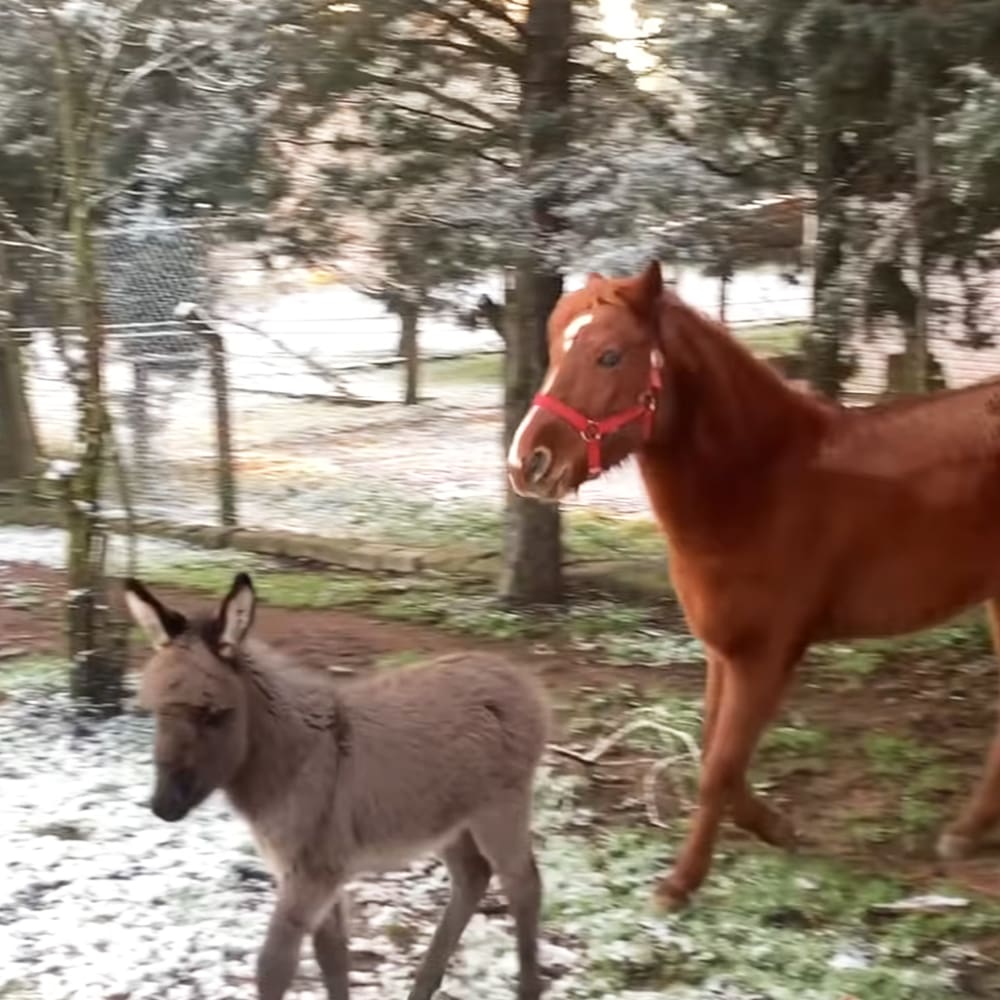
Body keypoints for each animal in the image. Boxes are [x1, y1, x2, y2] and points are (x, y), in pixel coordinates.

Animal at [124, 573, 549, 1000]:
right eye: (156, 712)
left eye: (214, 714)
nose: (163, 806)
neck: (292, 761)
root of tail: (513, 674)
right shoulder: (313, 873)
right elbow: (332, 957)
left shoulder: (312, 874)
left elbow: (273, 967)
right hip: (449, 821)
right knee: (473, 877)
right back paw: (424, 986)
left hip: (500, 809)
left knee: (523, 883)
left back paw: (527, 987)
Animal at [507, 259, 1000, 910]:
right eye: (556, 347)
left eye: (609, 356)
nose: (527, 463)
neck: (761, 483)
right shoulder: (724, 652)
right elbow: (718, 759)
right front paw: (777, 828)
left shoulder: (765, 655)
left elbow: (719, 766)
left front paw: (680, 884)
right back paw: (968, 831)